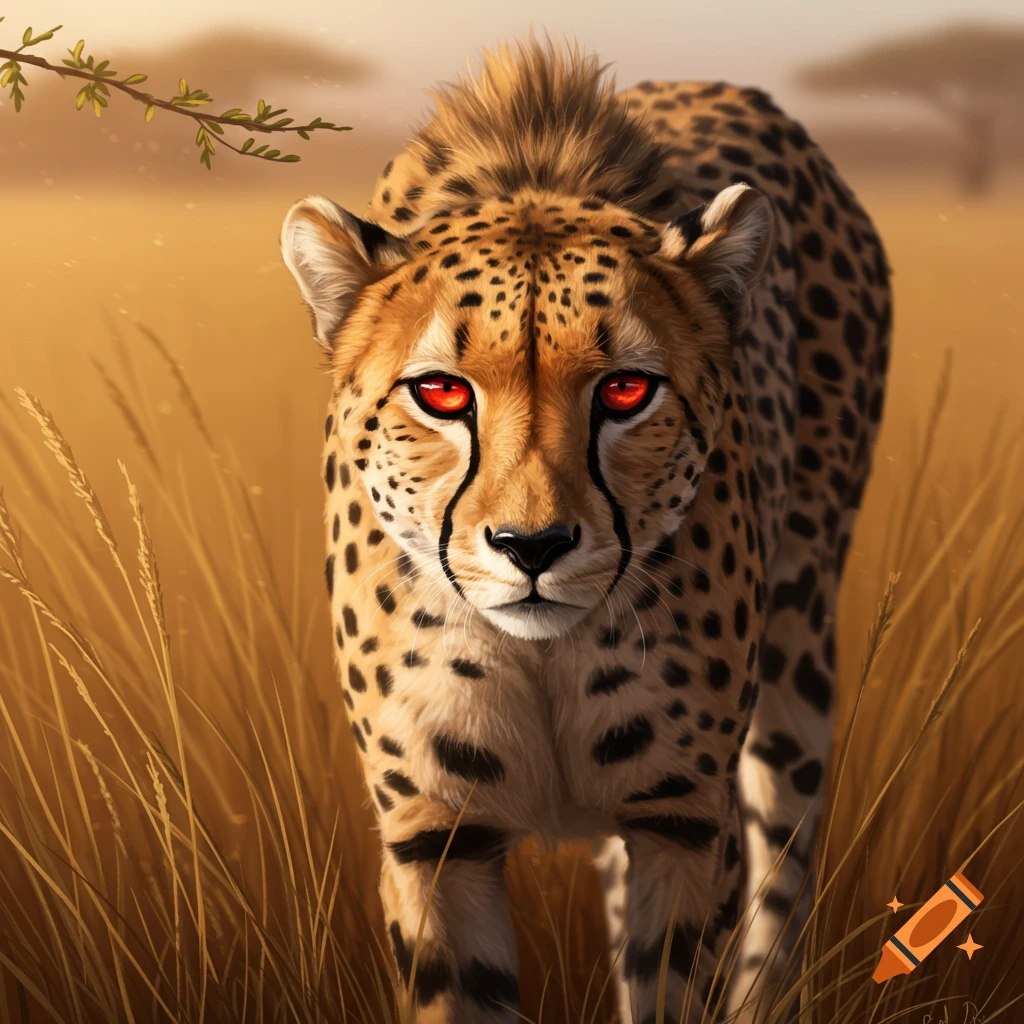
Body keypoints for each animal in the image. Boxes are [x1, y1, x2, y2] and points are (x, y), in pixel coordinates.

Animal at [280, 35, 891, 1024]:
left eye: (626, 390)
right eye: (440, 392)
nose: (532, 548)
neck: (544, 655)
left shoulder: (685, 821)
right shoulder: (435, 836)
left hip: (800, 653)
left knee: (785, 869)